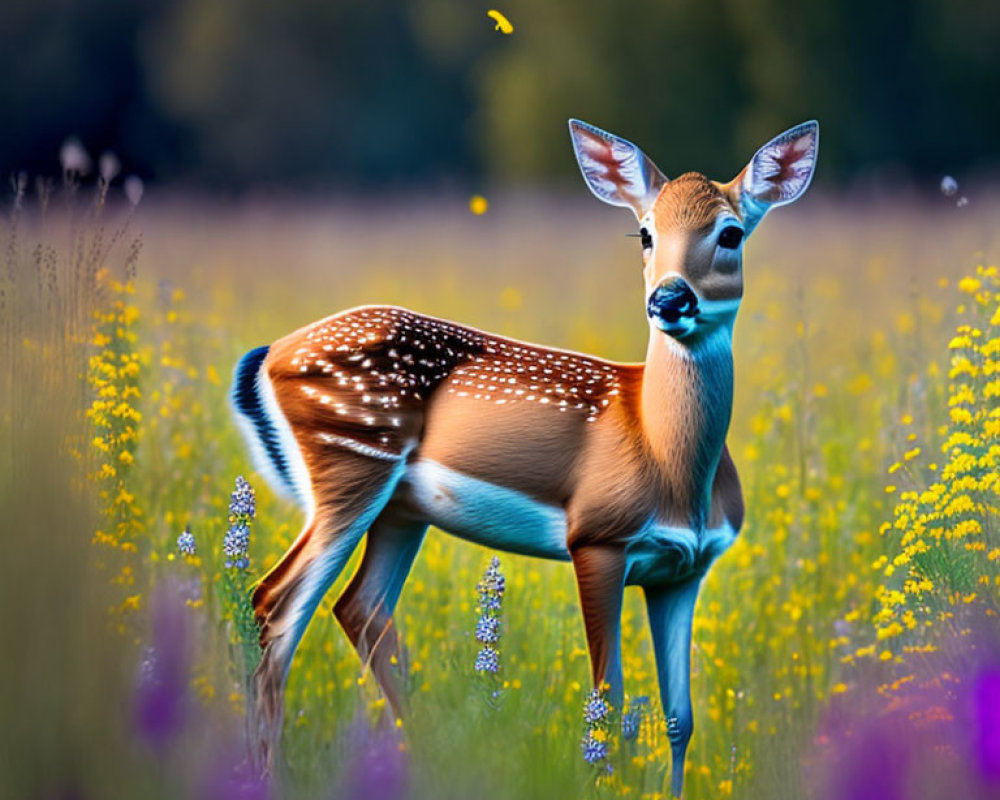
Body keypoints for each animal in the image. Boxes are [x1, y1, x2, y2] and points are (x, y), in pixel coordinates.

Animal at [236, 117, 820, 792]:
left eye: (731, 233)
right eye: (644, 233)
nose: (670, 300)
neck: (666, 457)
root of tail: (271, 352)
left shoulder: (685, 570)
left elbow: (680, 720)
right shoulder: (596, 538)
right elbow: (609, 702)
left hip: (400, 509)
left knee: (358, 609)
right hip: (350, 461)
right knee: (275, 605)